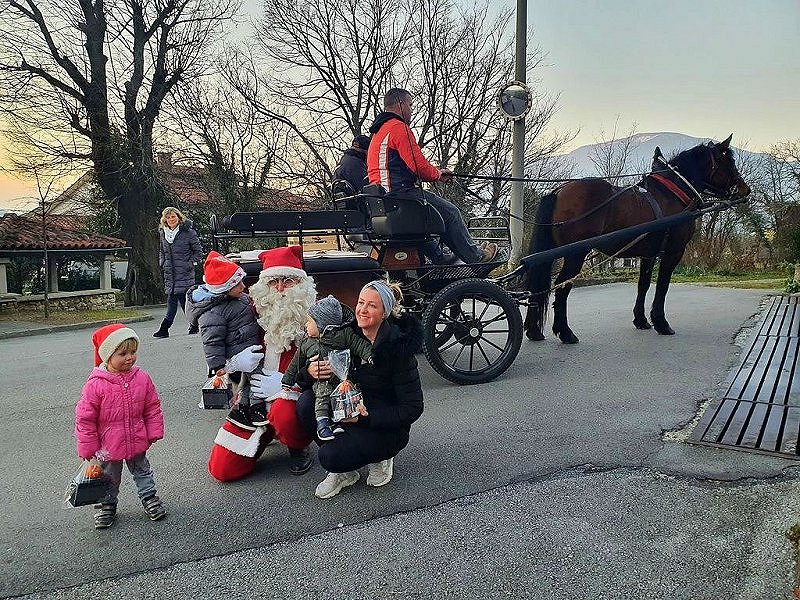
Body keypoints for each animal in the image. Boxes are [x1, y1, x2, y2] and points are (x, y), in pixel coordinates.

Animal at [524, 134, 752, 344]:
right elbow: (662, 285)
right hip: (575, 254)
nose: (745, 190)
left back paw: (534, 331)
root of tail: (559, 191)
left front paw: (641, 320)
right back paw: (565, 332)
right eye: (728, 162)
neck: (674, 192)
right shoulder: (673, 252)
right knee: (562, 286)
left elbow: (643, 285)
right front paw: (661, 322)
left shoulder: (648, 255)